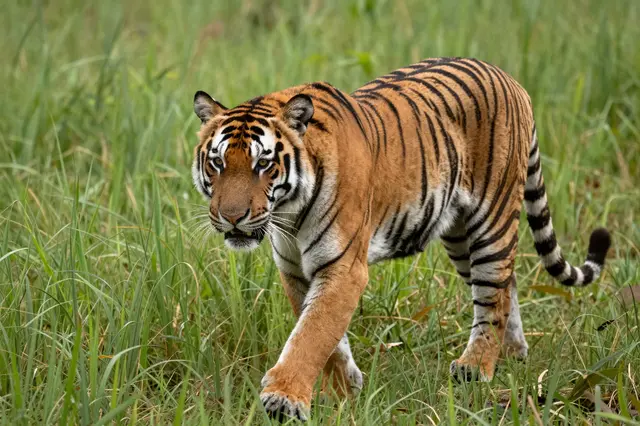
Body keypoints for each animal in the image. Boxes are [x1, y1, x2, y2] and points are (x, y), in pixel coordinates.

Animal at [191, 57, 611, 422]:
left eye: (263, 164)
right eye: (218, 163)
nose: (232, 217)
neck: (289, 213)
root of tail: (510, 79)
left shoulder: (343, 268)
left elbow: (312, 334)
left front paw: (284, 399)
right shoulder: (295, 269)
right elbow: (321, 333)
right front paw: (344, 388)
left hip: (491, 220)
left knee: (493, 296)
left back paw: (476, 367)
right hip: (460, 238)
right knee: (506, 286)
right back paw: (512, 353)